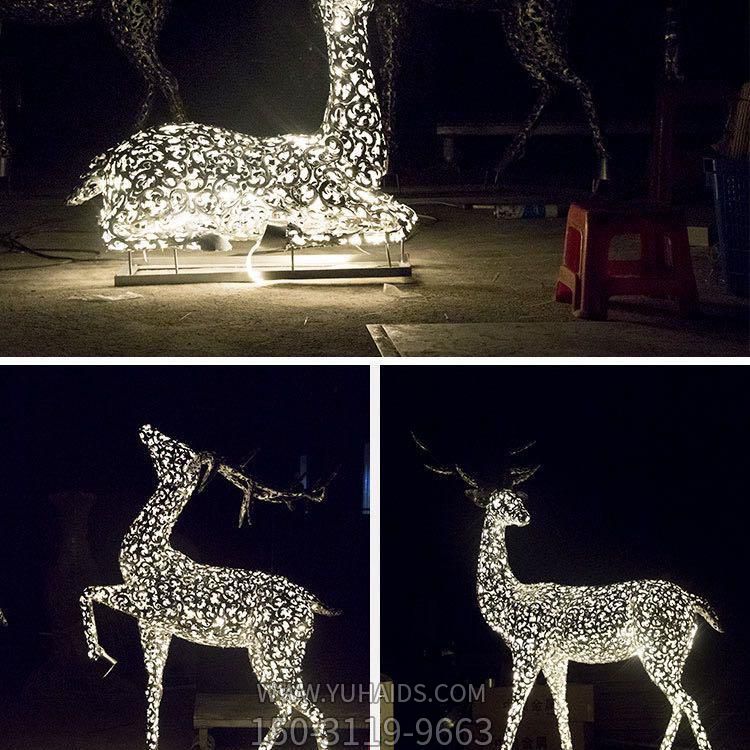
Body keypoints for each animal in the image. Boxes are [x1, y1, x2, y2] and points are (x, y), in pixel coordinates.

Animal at [81, 428, 340, 750]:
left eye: (176, 448)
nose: (147, 428)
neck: (150, 549)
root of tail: (310, 600)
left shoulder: (144, 602)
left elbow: (88, 590)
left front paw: (98, 654)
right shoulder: (153, 628)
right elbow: (155, 691)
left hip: (281, 652)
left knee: (311, 708)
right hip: (264, 655)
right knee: (289, 705)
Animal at [414, 438, 724, 750]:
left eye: (517, 499)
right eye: (497, 502)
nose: (524, 516)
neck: (509, 596)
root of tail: (691, 602)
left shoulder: (527, 651)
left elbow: (515, 712)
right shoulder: (555, 658)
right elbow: (561, 709)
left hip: (657, 652)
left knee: (688, 701)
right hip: (675, 656)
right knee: (679, 702)